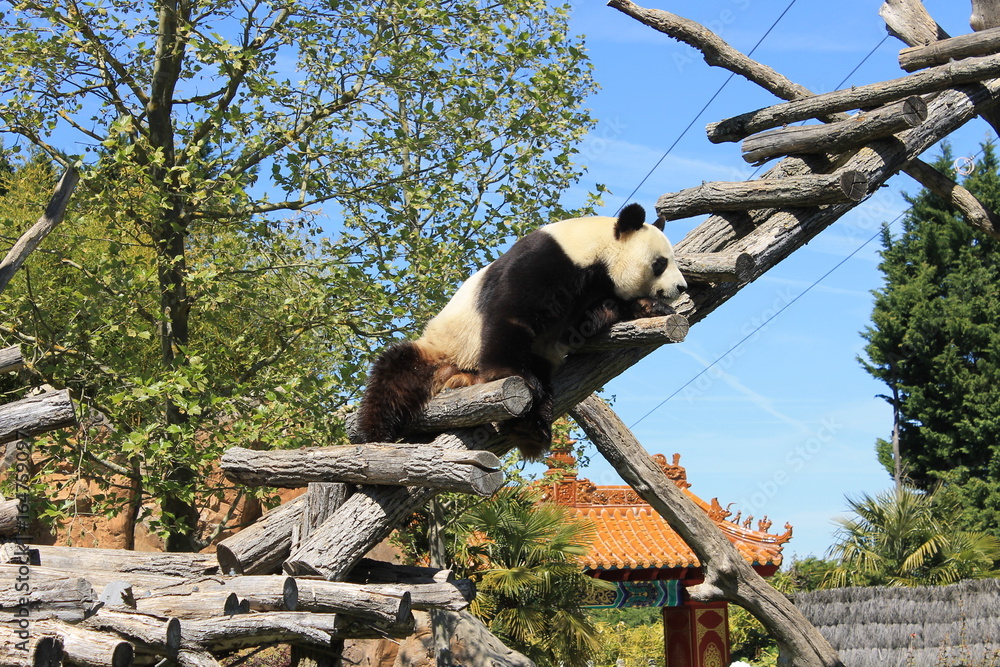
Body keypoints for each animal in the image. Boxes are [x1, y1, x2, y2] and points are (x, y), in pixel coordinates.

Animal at [356, 202, 687, 458]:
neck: (596, 251)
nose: (681, 287)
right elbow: (511, 316)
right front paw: (513, 375)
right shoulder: (546, 261)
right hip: (440, 349)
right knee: (395, 376)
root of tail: (452, 373)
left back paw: (531, 429)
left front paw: (650, 307)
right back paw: (377, 434)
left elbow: (583, 324)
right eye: (660, 263)